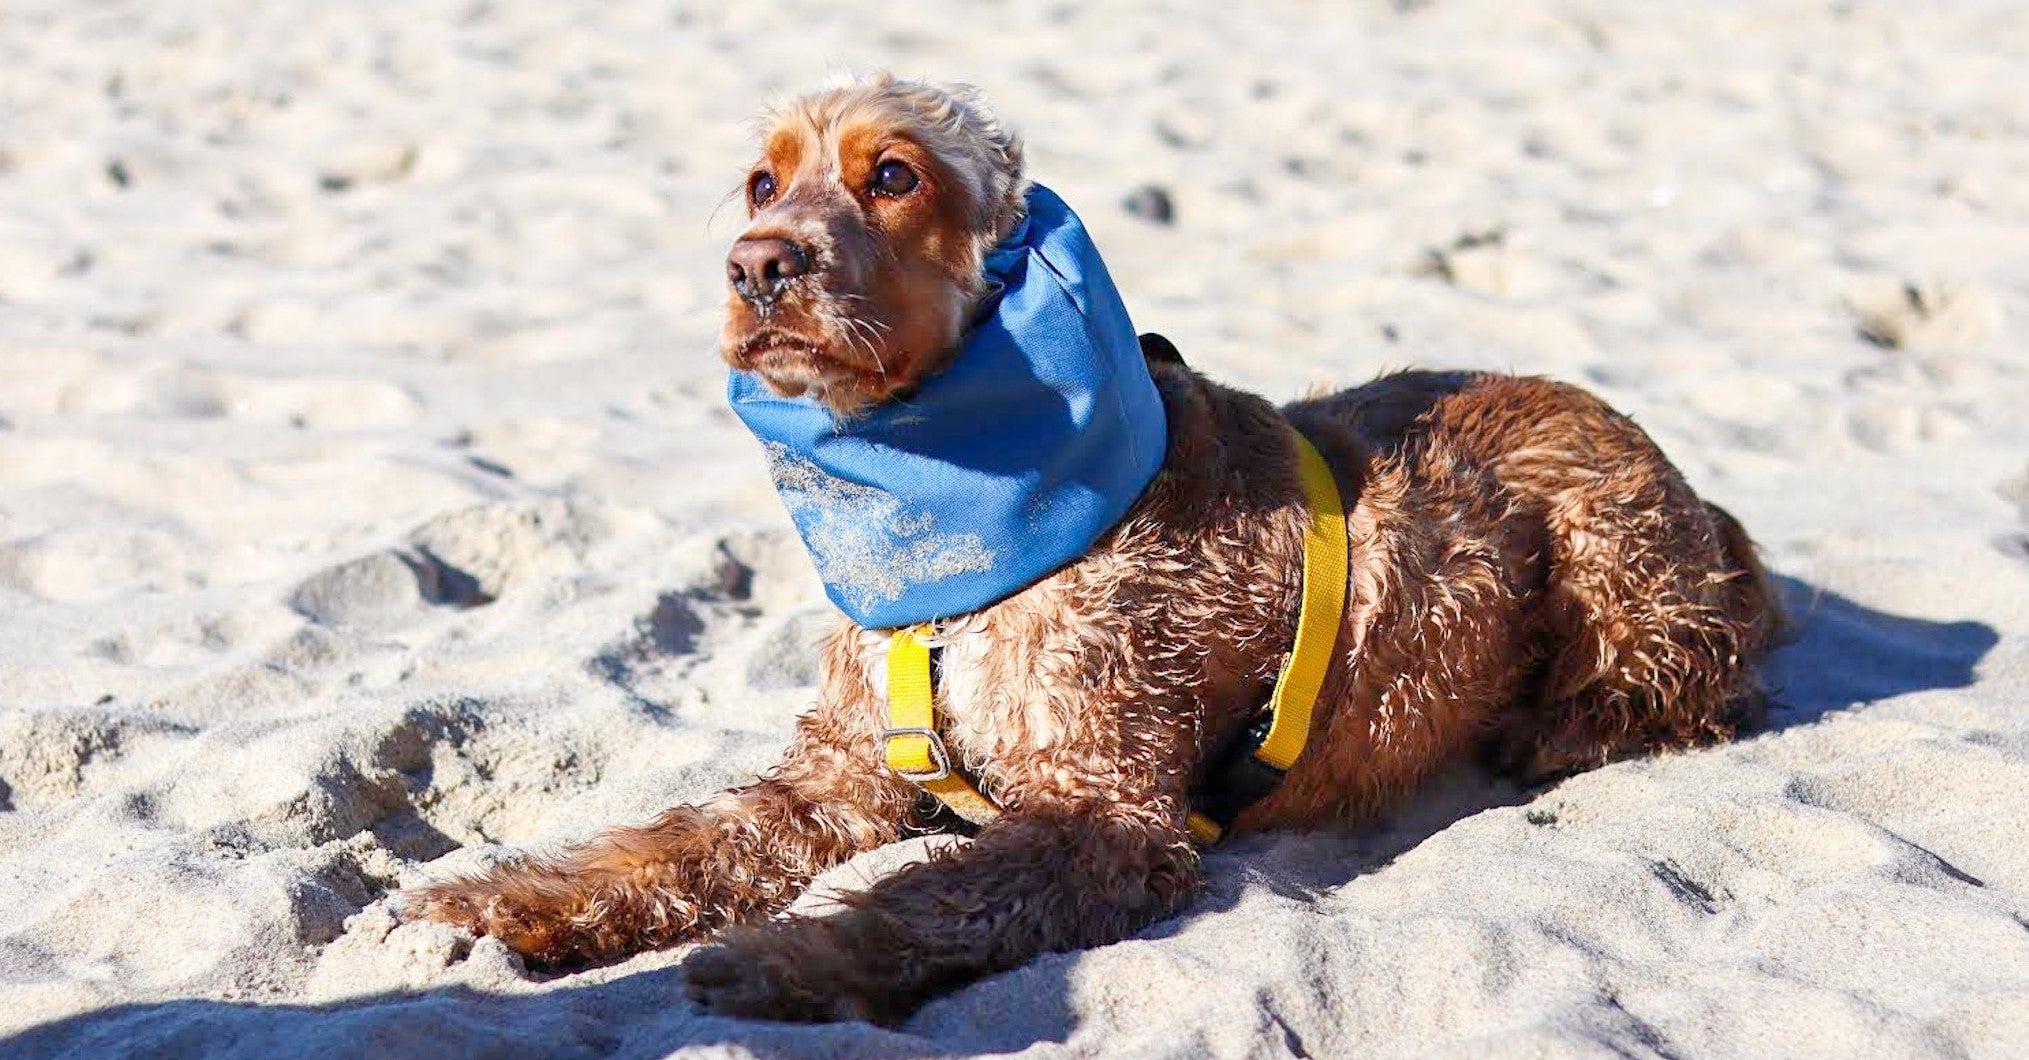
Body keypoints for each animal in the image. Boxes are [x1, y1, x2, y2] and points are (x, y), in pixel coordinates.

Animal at [403, 68, 1785, 1023]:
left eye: (893, 175)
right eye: (760, 182)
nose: (757, 263)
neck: (949, 543)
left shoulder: (1102, 809)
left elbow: (927, 895)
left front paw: (782, 956)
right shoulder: (838, 775)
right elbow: (675, 838)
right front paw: (505, 900)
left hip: (1612, 549)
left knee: (1694, 682)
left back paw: (1571, 723)